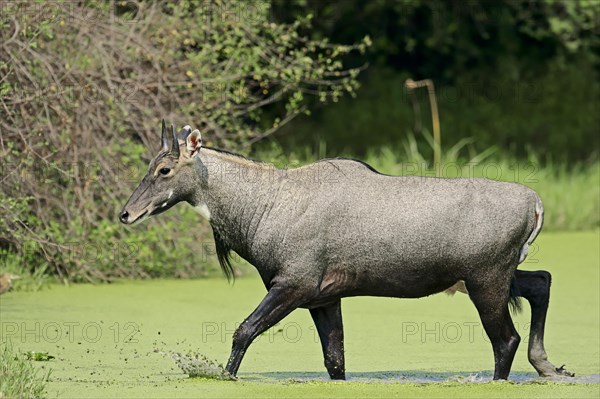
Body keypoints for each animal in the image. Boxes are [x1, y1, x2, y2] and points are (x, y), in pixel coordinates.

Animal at [119, 121, 576, 382]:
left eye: (164, 169)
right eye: (149, 166)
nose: (126, 213)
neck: (262, 207)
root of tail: (536, 202)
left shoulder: (293, 284)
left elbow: (243, 331)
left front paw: (223, 378)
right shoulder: (324, 297)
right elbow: (335, 361)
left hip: (485, 279)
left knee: (506, 340)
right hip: (491, 276)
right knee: (542, 282)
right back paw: (549, 366)